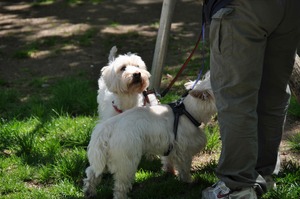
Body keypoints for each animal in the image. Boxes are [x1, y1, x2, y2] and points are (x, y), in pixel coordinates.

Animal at [83, 73, 217, 199]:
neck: (188, 111)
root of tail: (107, 128)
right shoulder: (184, 150)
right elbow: (184, 168)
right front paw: (188, 181)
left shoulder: (169, 145)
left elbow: (168, 160)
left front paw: (170, 172)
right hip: (126, 161)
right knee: (120, 185)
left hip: (104, 158)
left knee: (92, 174)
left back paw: (89, 191)